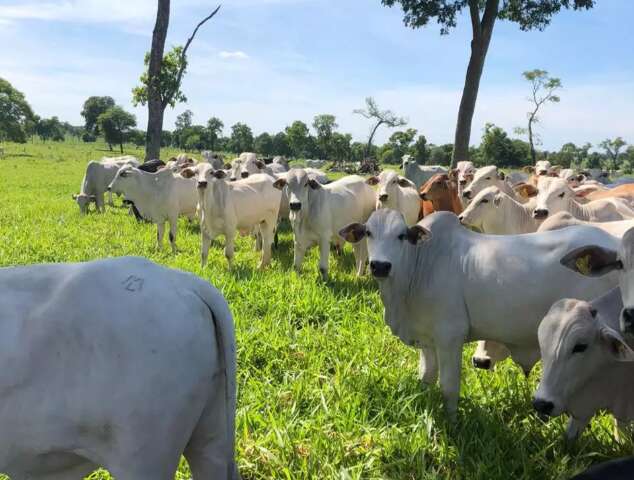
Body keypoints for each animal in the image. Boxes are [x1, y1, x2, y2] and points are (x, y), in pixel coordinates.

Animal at [338, 210, 616, 416]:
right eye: (369, 232)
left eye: (401, 236)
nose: (380, 266)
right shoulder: (427, 339)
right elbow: (426, 377)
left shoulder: (450, 336)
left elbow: (449, 387)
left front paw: (452, 422)